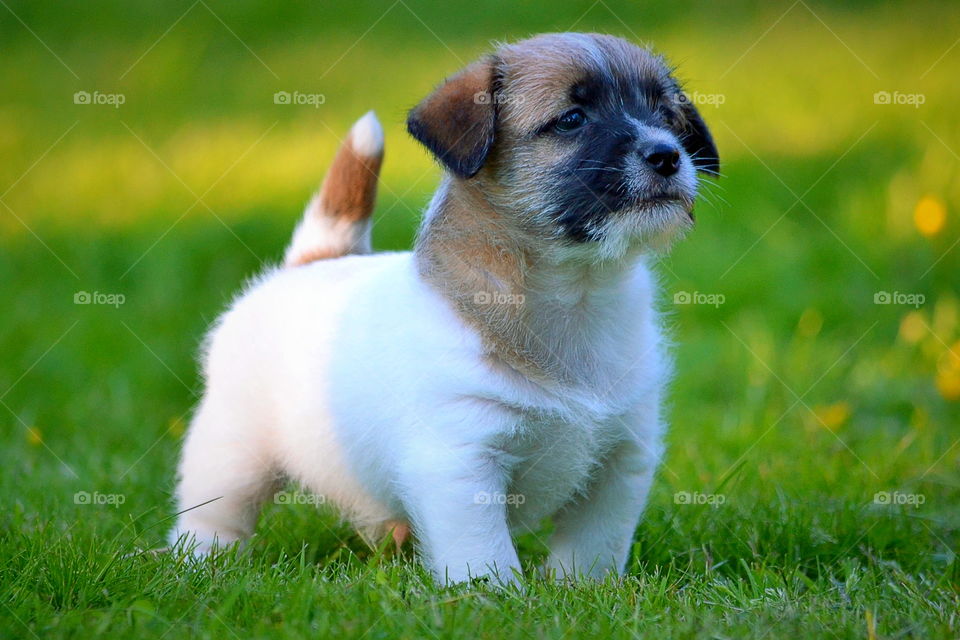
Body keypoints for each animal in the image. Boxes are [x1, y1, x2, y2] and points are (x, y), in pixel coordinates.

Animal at [169, 35, 716, 584]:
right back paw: (200, 561)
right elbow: (485, 554)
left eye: (666, 115)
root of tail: (314, 259)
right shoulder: (461, 464)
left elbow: (592, 548)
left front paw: (582, 591)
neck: (577, 292)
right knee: (214, 514)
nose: (668, 155)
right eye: (572, 119)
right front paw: (494, 595)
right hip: (232, 454)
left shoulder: (621, 460)